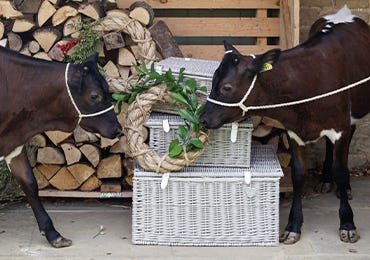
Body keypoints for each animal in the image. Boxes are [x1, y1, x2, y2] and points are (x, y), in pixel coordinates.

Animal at [199, 6, 370, 246]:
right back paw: (325, 180)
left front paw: (347, 223)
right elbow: (298, 174)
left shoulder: (340, 127)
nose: (203, 118)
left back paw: (342, 187)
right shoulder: (294, 130)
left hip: (353, 114)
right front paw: (293, 226)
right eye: (213, 81)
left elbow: (341, 171)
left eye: (226, 87)